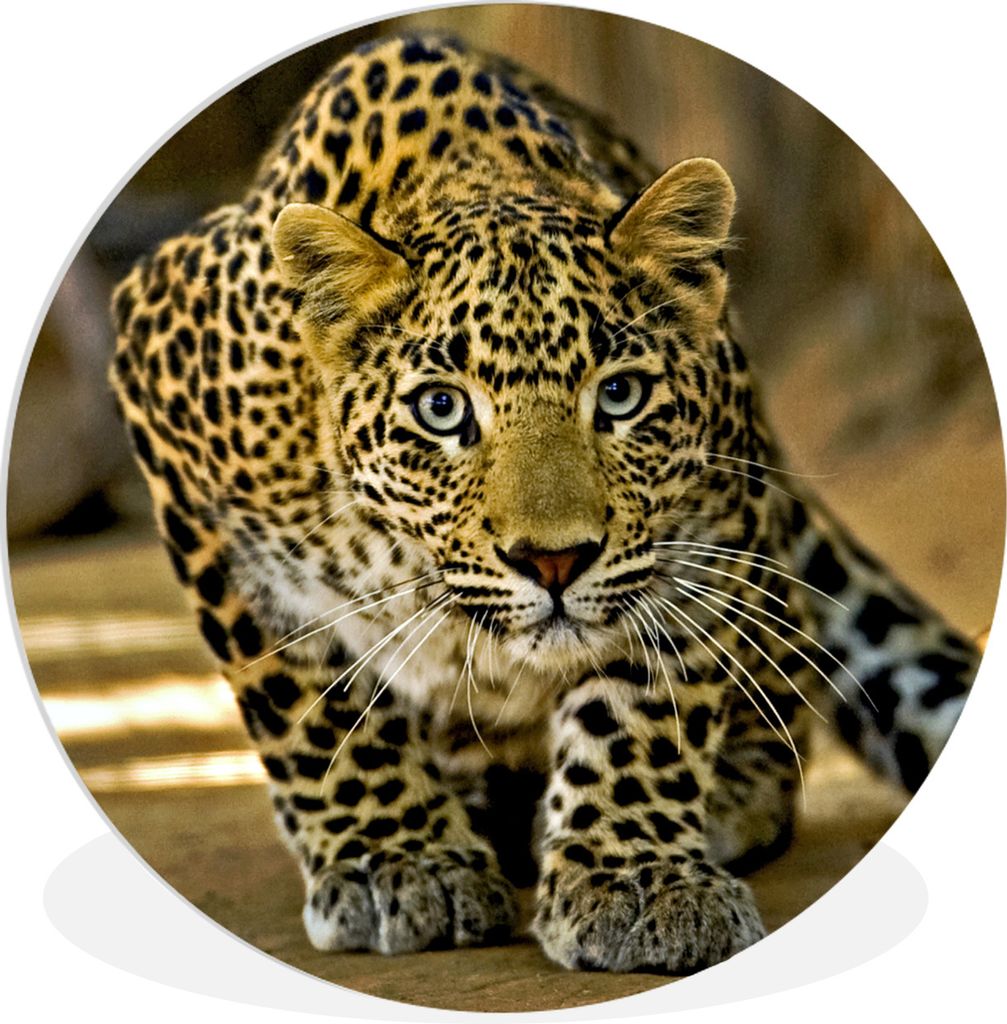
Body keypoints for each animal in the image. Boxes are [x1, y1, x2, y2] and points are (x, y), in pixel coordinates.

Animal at [108, 31, 979, 974]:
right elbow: (304, 700)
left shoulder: (702, 527)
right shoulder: (172, 412)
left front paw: (634, 877)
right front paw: (396, 860)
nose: (554, 561)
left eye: (621, 395)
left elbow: (644, 705)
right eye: (441, 408)